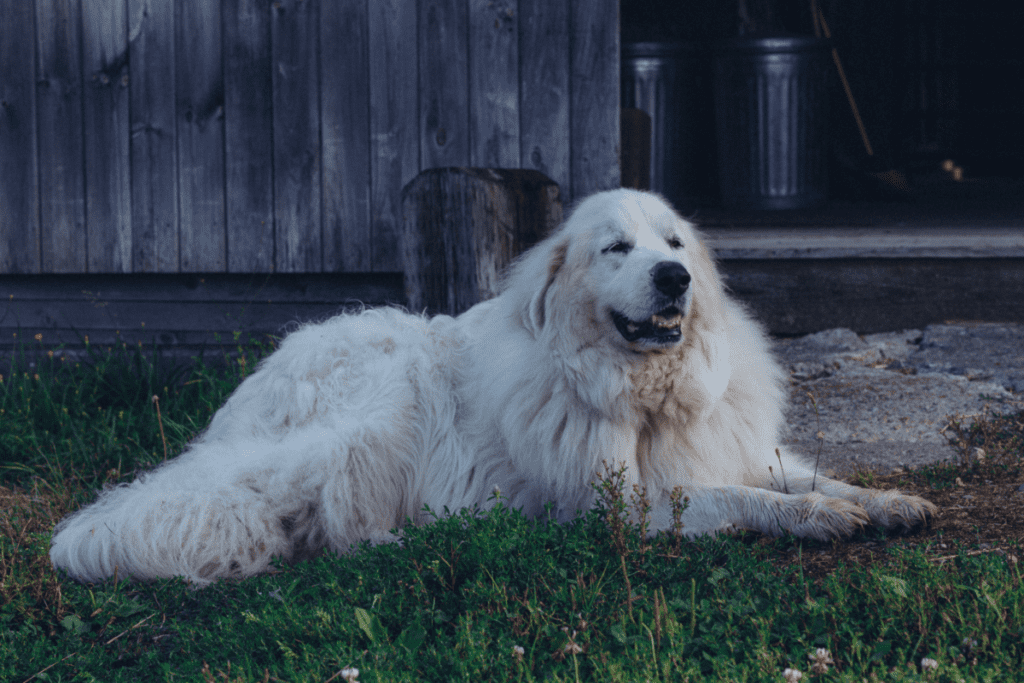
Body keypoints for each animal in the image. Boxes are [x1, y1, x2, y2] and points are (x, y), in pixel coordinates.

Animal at [51, 189, 937, 585]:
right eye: (617, 247)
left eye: (676, 242)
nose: (675, 278)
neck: (642, 392)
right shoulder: (616, 506)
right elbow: (743, 498)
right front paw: (815, 518)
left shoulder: (723, 450)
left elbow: (805, 474)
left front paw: (884, 500)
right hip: (377, 408)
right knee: (322, 513)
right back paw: (407, 538)